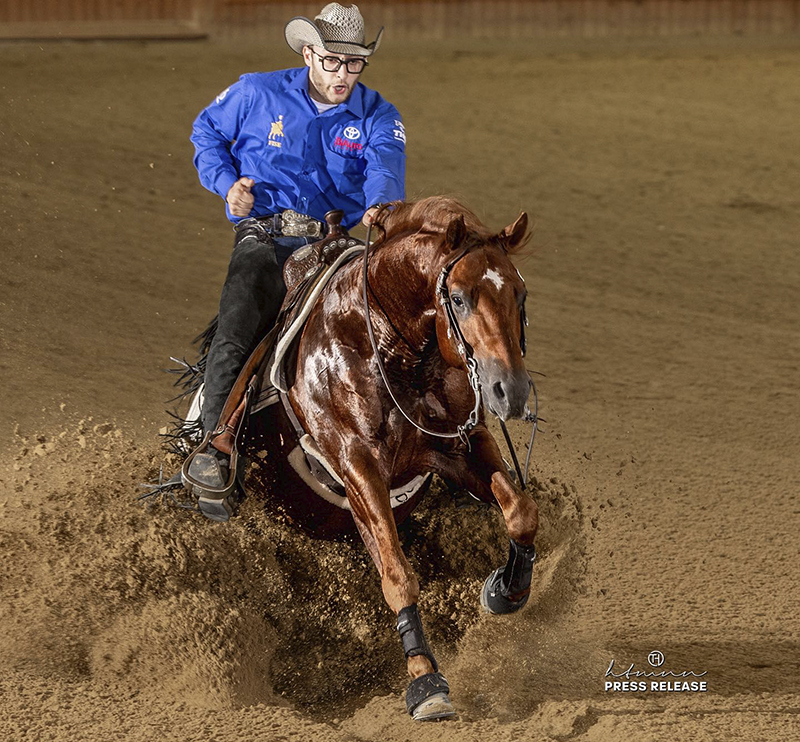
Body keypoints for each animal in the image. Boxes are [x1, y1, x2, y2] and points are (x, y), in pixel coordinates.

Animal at [260, 198, 540, 720]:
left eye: (520, 294)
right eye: (458, 298)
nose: (508, 390)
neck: (389, 347)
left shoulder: (460, 446)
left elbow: (521, 511)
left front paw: (506, 590)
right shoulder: (359, 467)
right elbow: (397, 575)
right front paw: (426, 682)